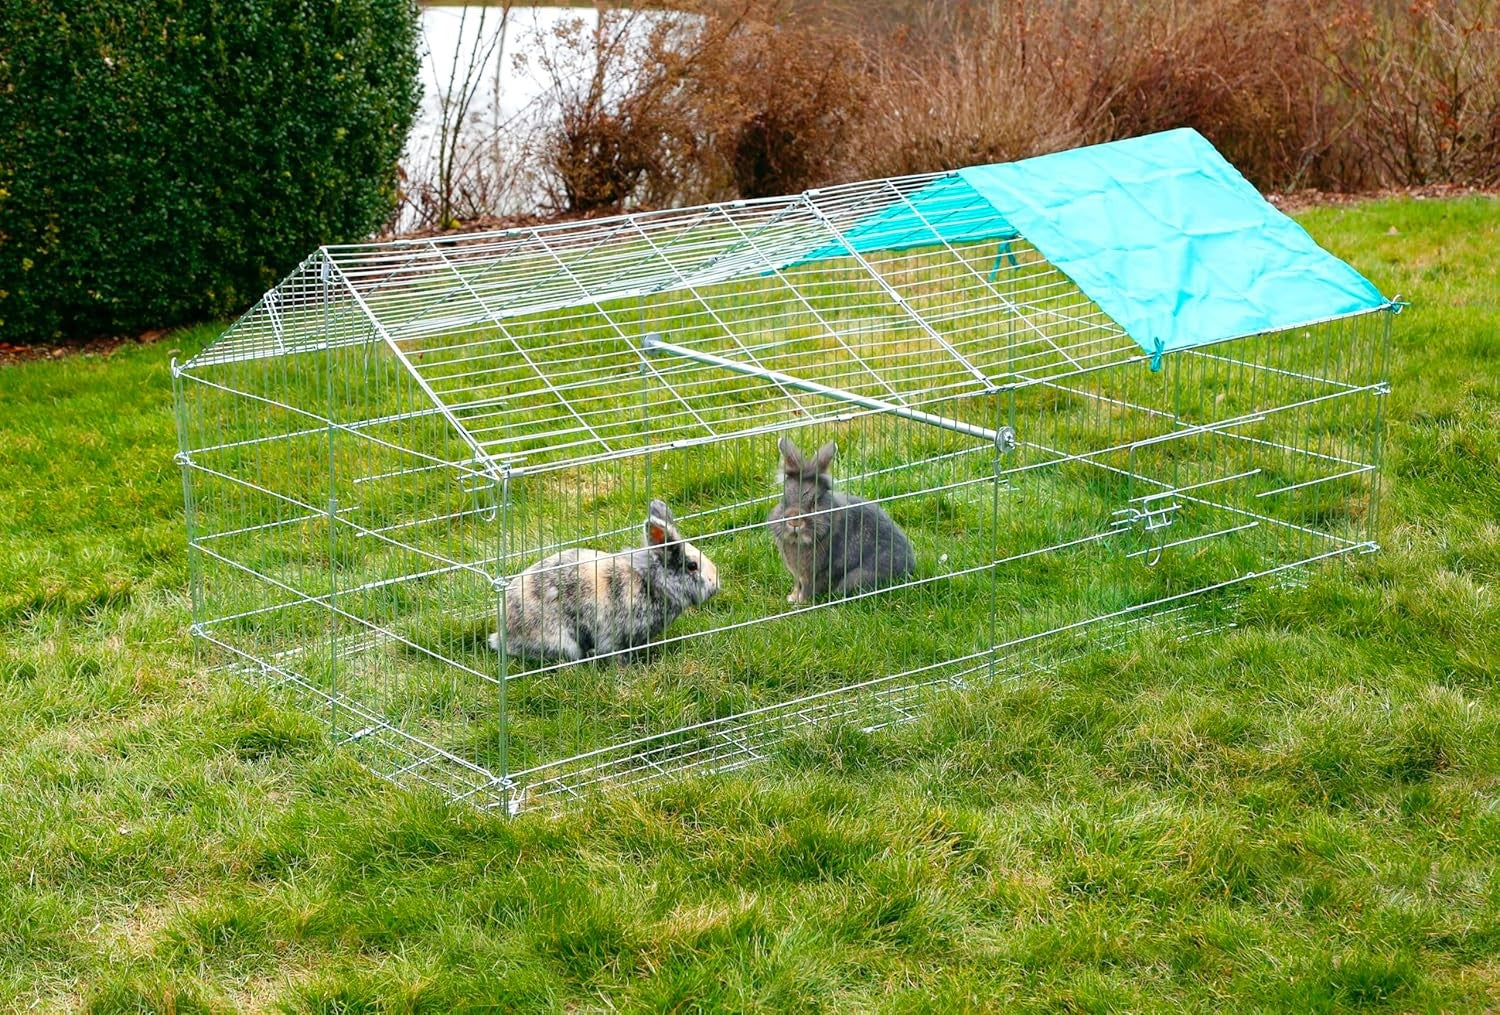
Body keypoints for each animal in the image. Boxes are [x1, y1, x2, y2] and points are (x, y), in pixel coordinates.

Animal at [490, 499, 719, 664]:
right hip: (562, 640)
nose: (716, 585)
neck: (651, 581)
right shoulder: (616, 636)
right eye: (692, 566)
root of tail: (504, 635)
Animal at [767, 437, 915, 603]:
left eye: (814, 503)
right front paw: (792, 598)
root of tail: (910, 566)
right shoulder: (799, 575)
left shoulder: (815, 574)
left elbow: (807, 589)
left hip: (855, 578)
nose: (794, 522)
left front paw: (800, 603)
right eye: (784, 500)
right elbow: (797, 585)